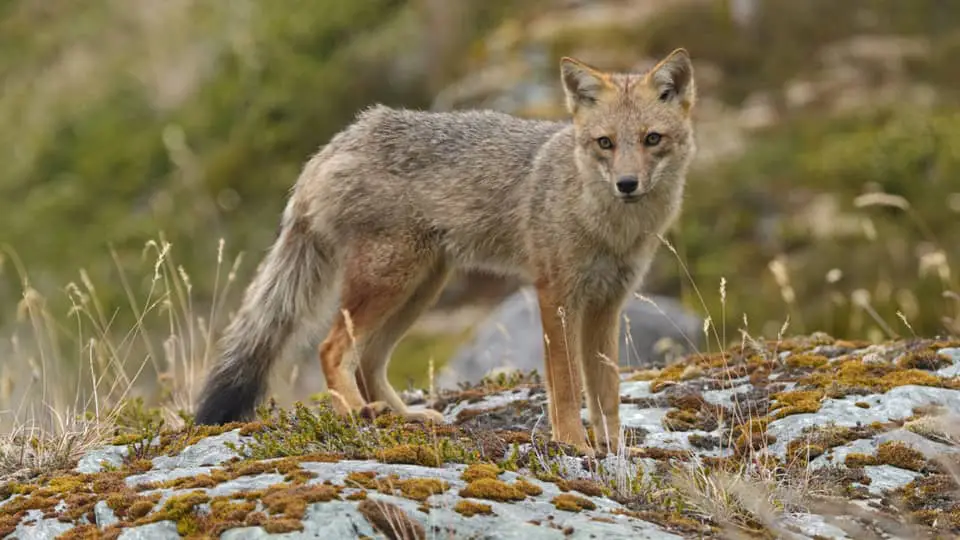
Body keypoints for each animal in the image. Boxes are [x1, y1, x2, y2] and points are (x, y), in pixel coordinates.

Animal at [193, 48, 697, 456]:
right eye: (605, 143)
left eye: (652, 139)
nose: (627, 184)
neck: (610, 227)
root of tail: (339, 141)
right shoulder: (556, 296)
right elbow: (568, 386)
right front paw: (574, 444)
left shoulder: (606, 305)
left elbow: (607, 391)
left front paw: (616, 448)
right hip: (389, 282)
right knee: (331, 349)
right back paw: (357, 413)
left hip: (420, 288)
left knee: (369, 361)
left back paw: (403, 417)